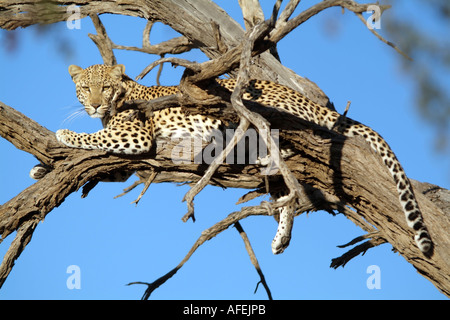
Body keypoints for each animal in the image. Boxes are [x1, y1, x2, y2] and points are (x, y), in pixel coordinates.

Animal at [29, 64, 430, 255]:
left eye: (106, 88)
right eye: (85, 88)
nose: (96, 104)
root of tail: (303, 98)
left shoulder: (138, 137)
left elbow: (95, 139)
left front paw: (63, 135)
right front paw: (40, 167)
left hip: (261, 111)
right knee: (288, 191)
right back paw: (281, 237)